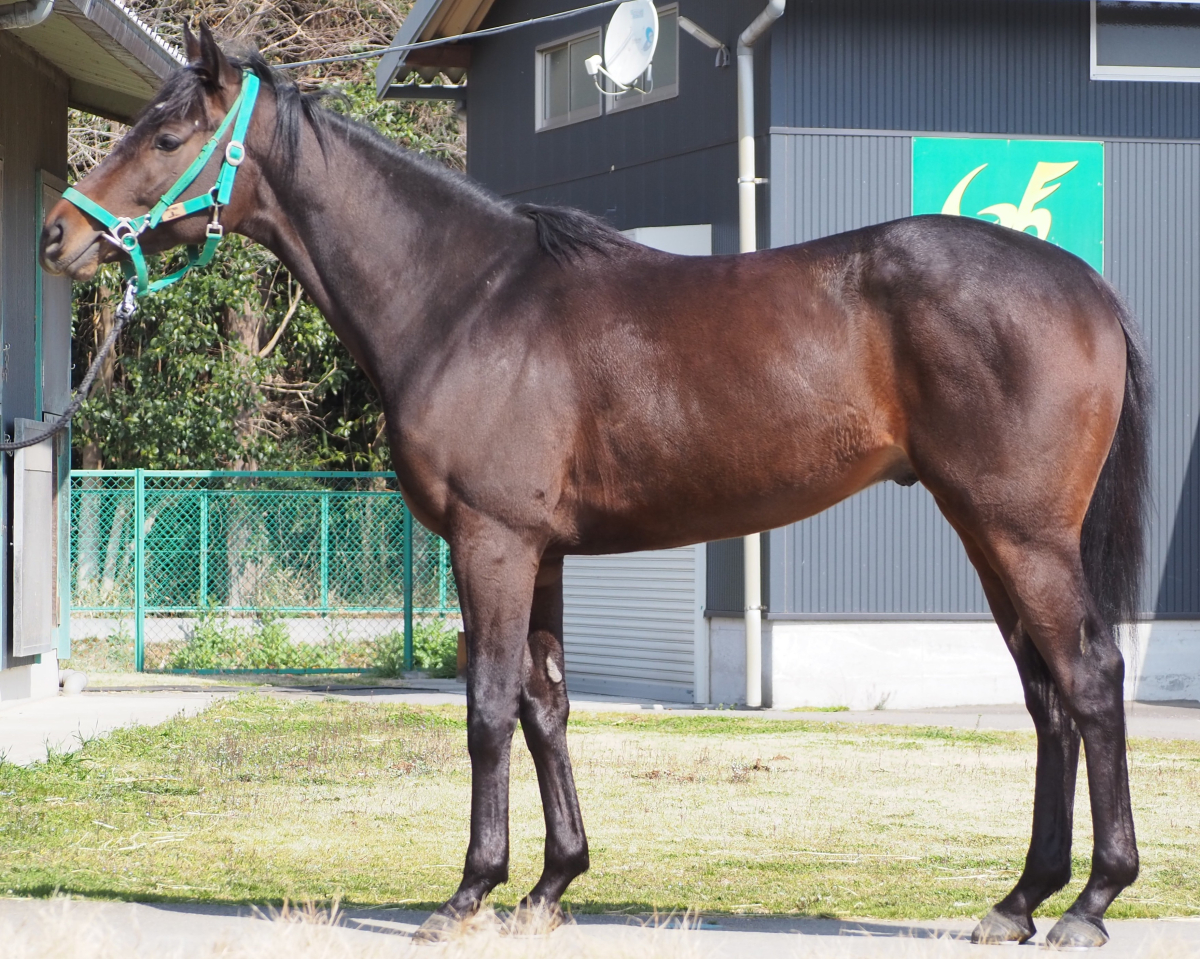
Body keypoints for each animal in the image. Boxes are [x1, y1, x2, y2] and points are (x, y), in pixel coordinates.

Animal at [40, 24, 1149, 948]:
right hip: (985, 530)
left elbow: (488, 704)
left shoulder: (490, 541)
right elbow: (547, 705)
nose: (57, 233)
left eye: (168, 133)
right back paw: (1018, 898)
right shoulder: (542, 553)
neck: (467, 300)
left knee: (1090, 677)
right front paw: (550, 883)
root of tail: (1083, 283)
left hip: (1021, 531)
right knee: (1046, 693)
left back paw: (1090, 900)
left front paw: (468, 890)